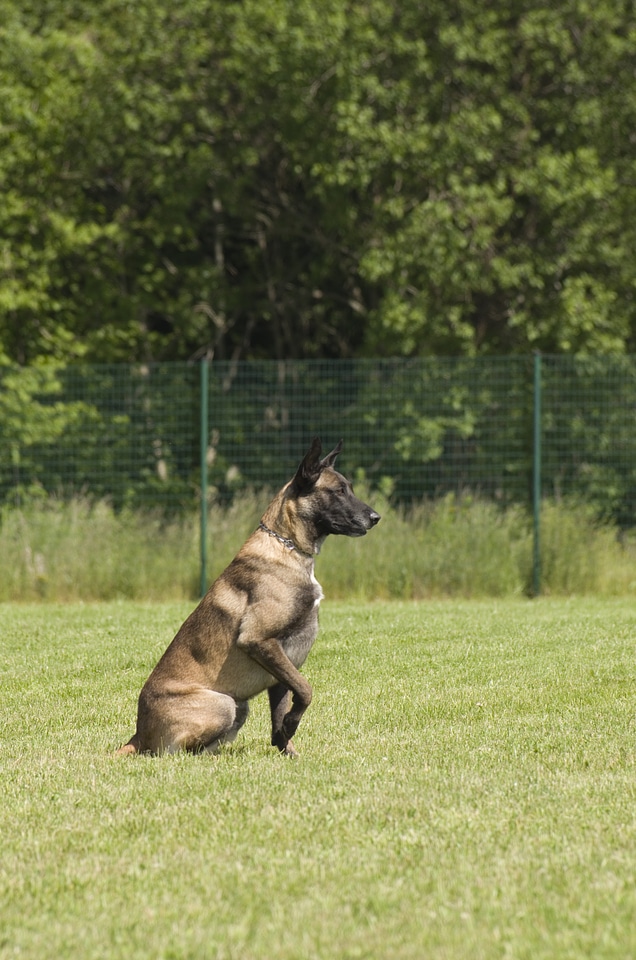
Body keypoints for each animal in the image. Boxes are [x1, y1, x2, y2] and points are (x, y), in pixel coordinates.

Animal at [117, 438, 380, 760]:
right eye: (339, 491)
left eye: (349, 488)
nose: (375, 518)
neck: (287, 547)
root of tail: (139, 734)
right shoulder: (259, 640)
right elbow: (305, 691)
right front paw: (291, 725)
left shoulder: (281, 663)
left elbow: (281, 710)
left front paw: (286, 745)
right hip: (224, 704)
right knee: (174, 752)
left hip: (238, 707)